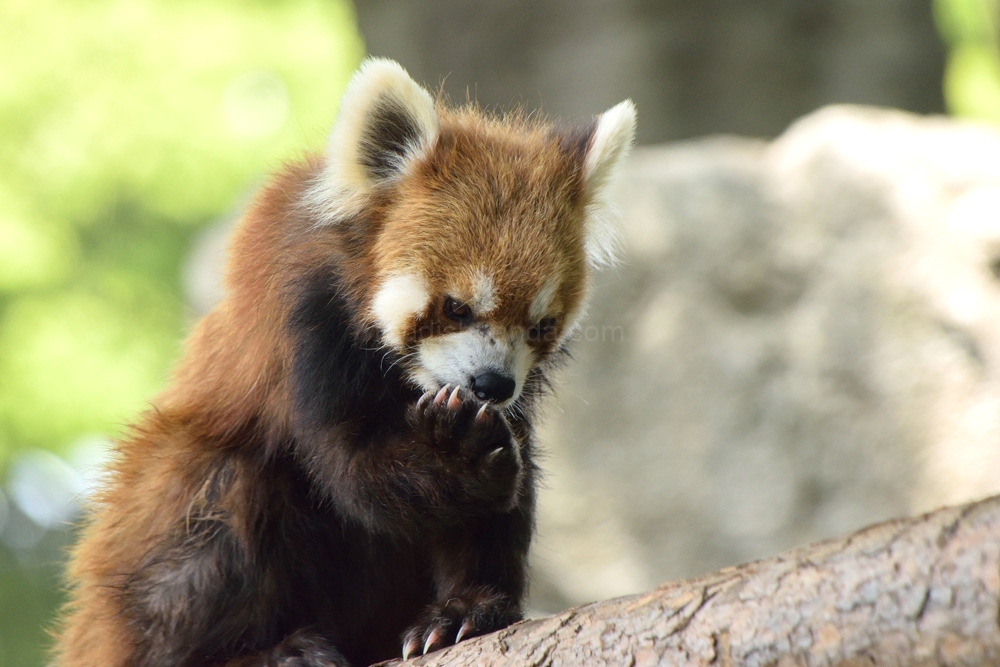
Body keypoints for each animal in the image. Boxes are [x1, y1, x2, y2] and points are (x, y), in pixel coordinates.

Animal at [54, 58, 632, 667]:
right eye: (456, 307)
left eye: (540, 326)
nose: (491, 384)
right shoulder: (305, 327)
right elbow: (350, 472)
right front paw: (457, 450)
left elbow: (495, 502)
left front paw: (467, 610)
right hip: (154, 522)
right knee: (214, 501)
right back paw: (264, 651)